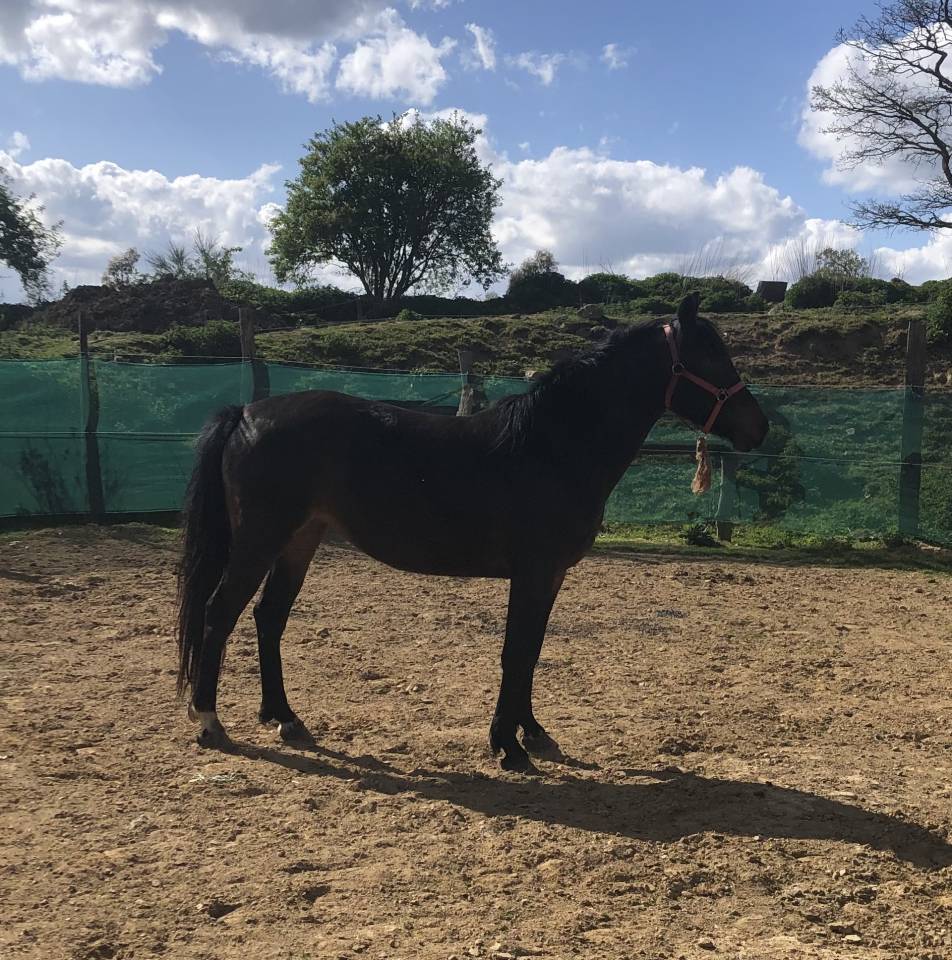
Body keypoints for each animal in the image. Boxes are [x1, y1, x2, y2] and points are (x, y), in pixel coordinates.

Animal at [176, 292, 768, 771]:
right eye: (710, 356)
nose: (759, 428)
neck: (552, 446)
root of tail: (246, 411)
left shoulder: (549, 576)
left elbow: (532, 650)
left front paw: (533, 734)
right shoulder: (533, 572)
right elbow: (515, 651)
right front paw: (508, 746)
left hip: (299, 541)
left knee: (268, 617)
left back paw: (285, 718)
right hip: (259, 541)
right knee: (219, 613)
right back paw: (209, 722)